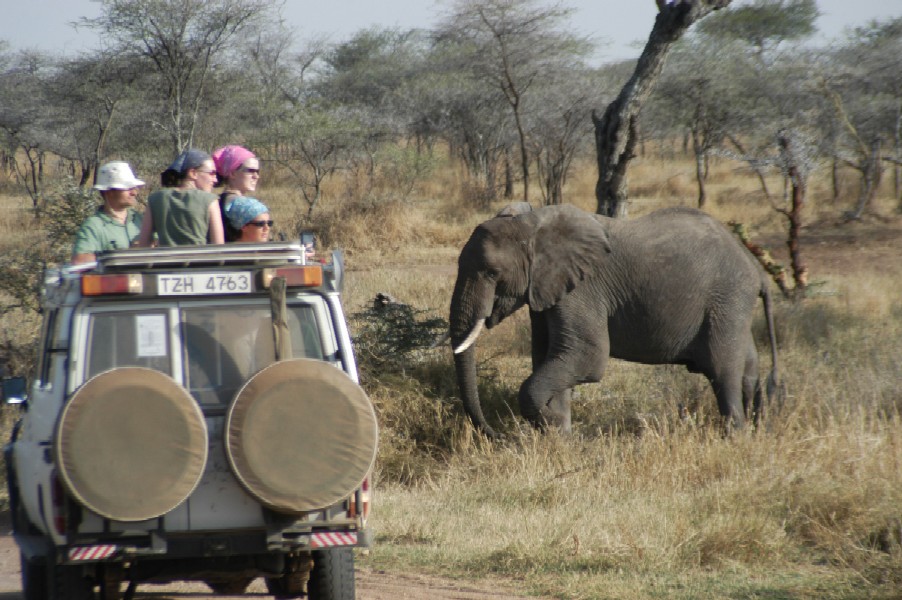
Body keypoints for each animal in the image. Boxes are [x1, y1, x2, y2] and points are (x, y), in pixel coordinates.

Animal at [448, 203, 780, 436]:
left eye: (492, 272)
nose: (497, 435)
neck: (532, 225)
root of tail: (755, 268)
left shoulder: (582, 289)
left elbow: (586, 356)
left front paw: (551, 426)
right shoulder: (547, 291)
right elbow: (548, 355)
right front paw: (559, 437)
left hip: (727, 298)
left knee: (723, 370)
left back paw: (735, 437)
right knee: (748, 367)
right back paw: (757, 429)